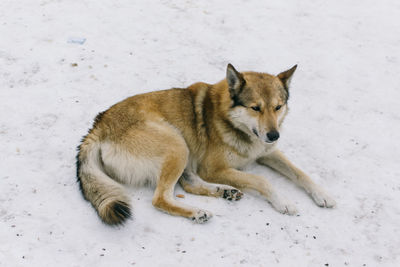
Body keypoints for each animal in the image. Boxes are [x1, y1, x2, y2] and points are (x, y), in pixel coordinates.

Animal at [76, 64, 336, 226]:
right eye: (256, 108)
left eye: (278, 107)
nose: (274, 135)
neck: (232, 121)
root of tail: (98, 126)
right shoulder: (213, 169)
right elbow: (262, 180)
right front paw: (283, 202)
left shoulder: (266, 152)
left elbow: (300, 173)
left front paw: (322, 194)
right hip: (177, 144)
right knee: (160, 199)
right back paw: (198, 212)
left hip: (182, 150)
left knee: (189, 185)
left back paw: (224, 191)